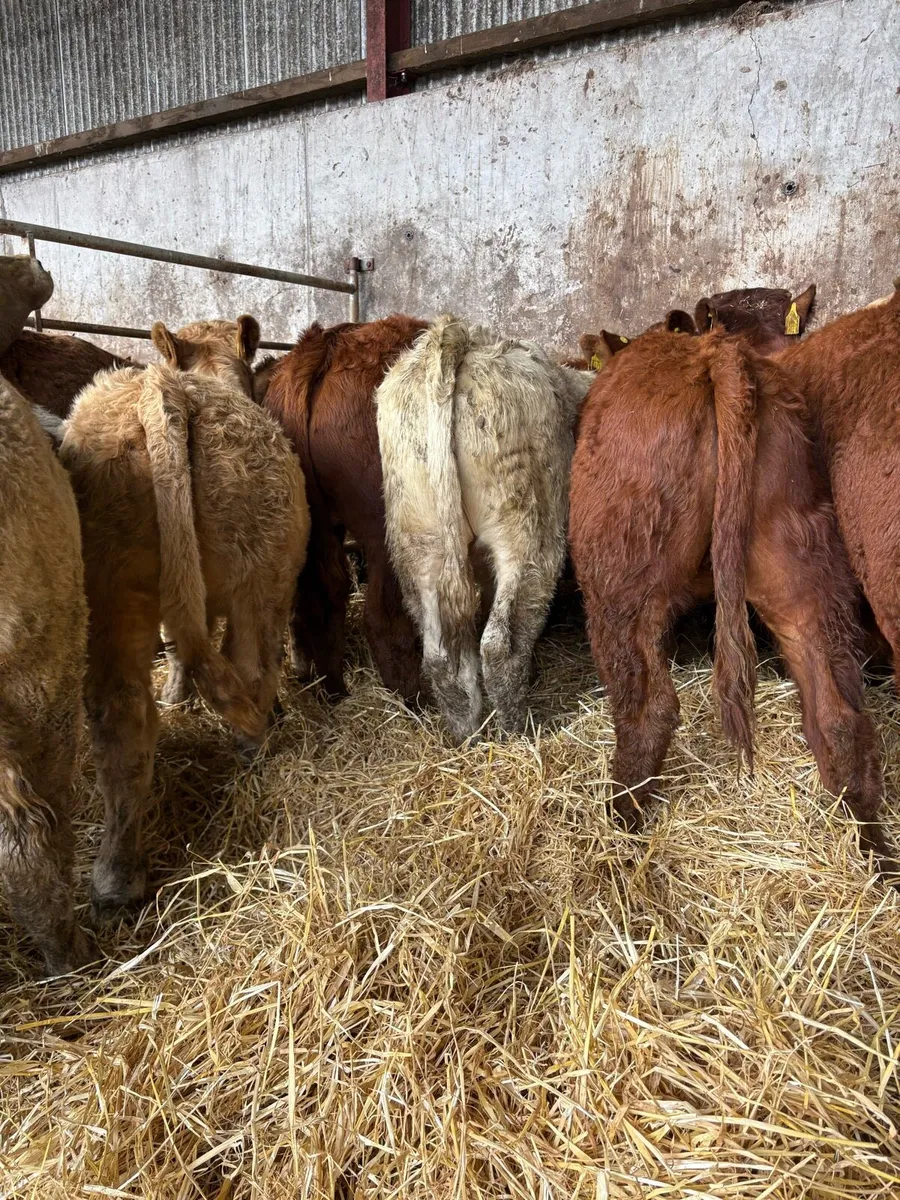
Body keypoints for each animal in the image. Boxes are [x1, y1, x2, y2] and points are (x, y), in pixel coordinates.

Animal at [58, 316, 309, 915]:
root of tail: (162, 390)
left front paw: (176, 694)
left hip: (113, 590)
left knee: (120, 712)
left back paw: (115, 878)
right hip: (257, 579)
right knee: (250, 668)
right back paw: (254, 745)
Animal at [264, 315, 427, 700]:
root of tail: (324, 346)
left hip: (314, 526)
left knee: (322, 601)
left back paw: (334, 692)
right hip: (386, 531)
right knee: (383, 617)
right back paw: (413, 699)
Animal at [376, 315, 594, 741]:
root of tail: (460, 339)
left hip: (419, 542)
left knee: (440, 653)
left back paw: (467, 731)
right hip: (528, 535)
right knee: (499, 643)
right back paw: (517, 730)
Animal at [568, 321, 896, 876]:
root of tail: (715, 356)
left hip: (618, 585)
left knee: (648, 711)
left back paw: (619, 833)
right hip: (802, 570)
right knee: (838, 717)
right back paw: (877, 860)